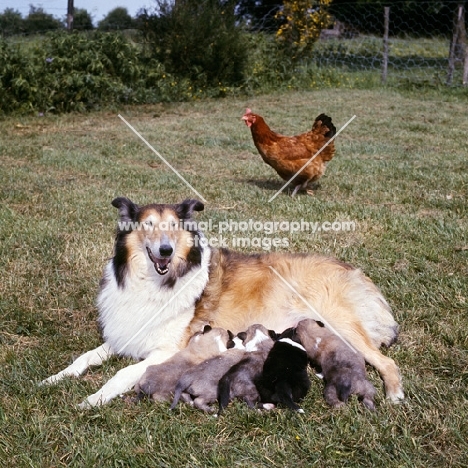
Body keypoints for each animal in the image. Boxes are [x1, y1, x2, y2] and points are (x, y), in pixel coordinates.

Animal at [42, 196, 404, 408]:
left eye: (173, 227)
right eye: (147, 225)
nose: (165, 251)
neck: (153, 281)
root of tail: (353, 271)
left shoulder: (167, 349)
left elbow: (122, 373)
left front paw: (94, 398)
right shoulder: (125, 334)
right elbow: (84, 358)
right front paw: (53, 379)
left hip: (342, 325)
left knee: (387, 362)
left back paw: (395, 395)